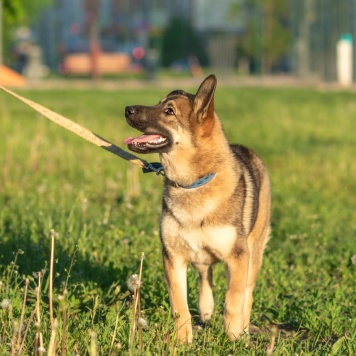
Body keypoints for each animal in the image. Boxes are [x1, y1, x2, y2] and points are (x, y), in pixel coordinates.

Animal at [124, 74, 272, 342]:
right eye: (158, 103)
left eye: (169, 111)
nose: (127, 109)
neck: (192, 184)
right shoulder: (173, 256)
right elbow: (179, 305)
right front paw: (183, 341)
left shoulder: (238, 257)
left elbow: (234, 299)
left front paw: (234, 337)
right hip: (199, 255)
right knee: (205, 276)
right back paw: (206, 310)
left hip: (254, 251)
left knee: (247, 292)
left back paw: (243, 328)